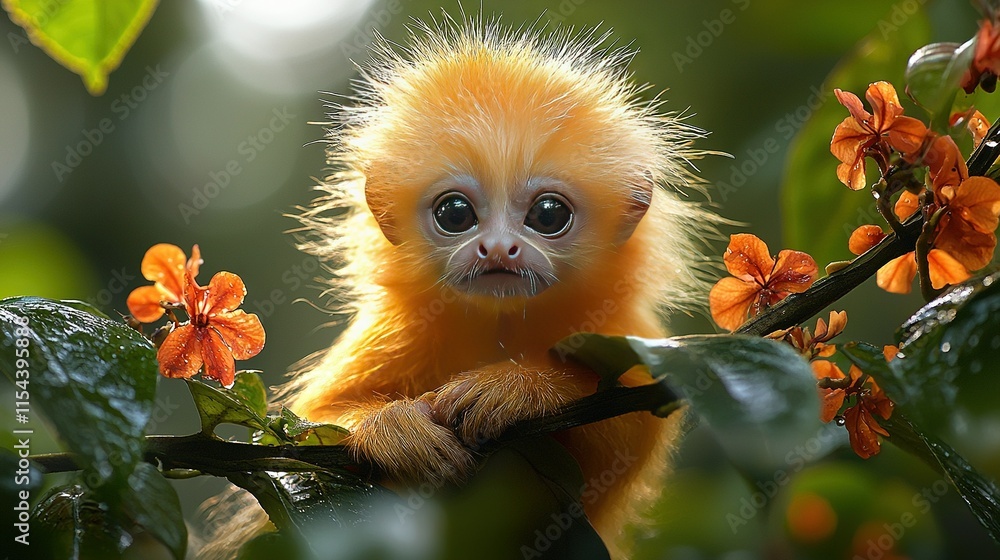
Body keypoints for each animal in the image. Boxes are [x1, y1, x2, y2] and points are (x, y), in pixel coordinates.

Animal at [198, 16, 717, 560]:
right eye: (454, 213)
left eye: (548, 215)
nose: (498, 249)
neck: (499, 323)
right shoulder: (395, 333)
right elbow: (309, 427)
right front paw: (394, 429)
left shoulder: (623, 336)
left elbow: (626, 436)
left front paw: (521, 388)